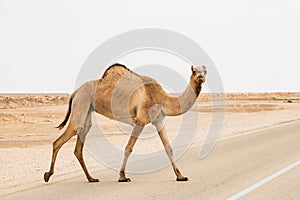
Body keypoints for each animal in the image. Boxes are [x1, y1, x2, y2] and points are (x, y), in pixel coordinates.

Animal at [43, 63, 206, 183]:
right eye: (194, 71)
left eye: (205, 71)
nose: (201, 77)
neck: (161, 98)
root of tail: (75, 92)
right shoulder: (140, 120)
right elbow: (128, 148)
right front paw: (122, 177)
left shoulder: (159, 121)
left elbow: (169, 149)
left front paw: (181, 176)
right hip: (81, 104)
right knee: (59, 141)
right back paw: (47, 175)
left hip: (86, 111)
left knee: (79, 146)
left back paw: (91, 178)